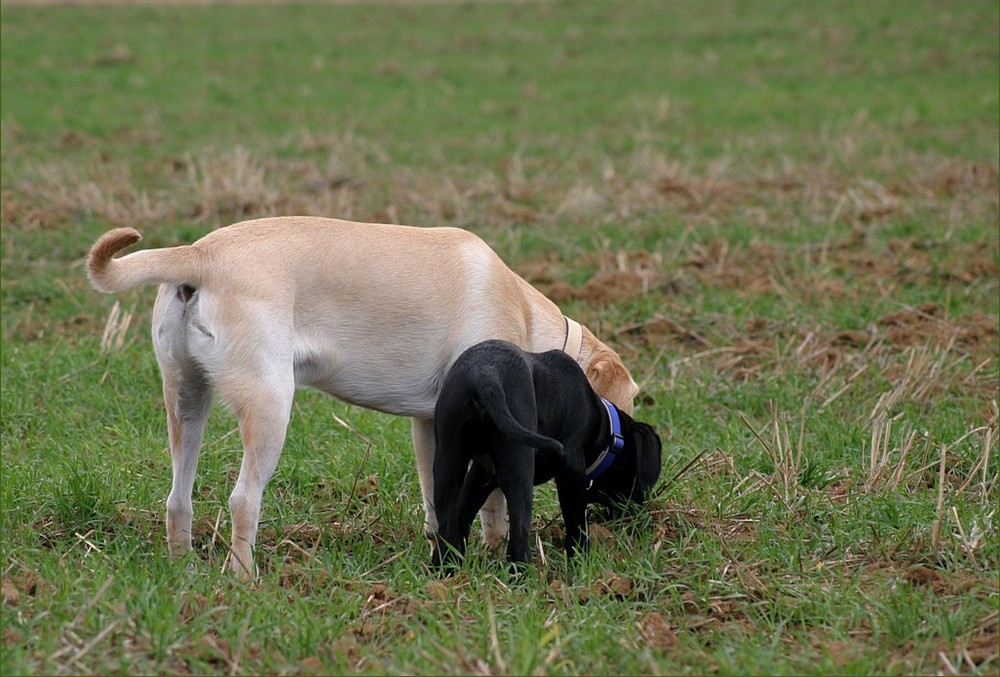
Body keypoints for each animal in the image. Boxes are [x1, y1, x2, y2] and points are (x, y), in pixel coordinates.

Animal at [432, 336, 660, 564]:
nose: (641, 513)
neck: (602, 427)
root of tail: (486, 376)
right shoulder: (571, 471)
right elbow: (576, 522)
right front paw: (579, 560)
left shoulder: (482, 474)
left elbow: (462, 515)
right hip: (520, 469)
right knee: (518, 535)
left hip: (448, 462)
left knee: (446, 525)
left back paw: (443, 567)